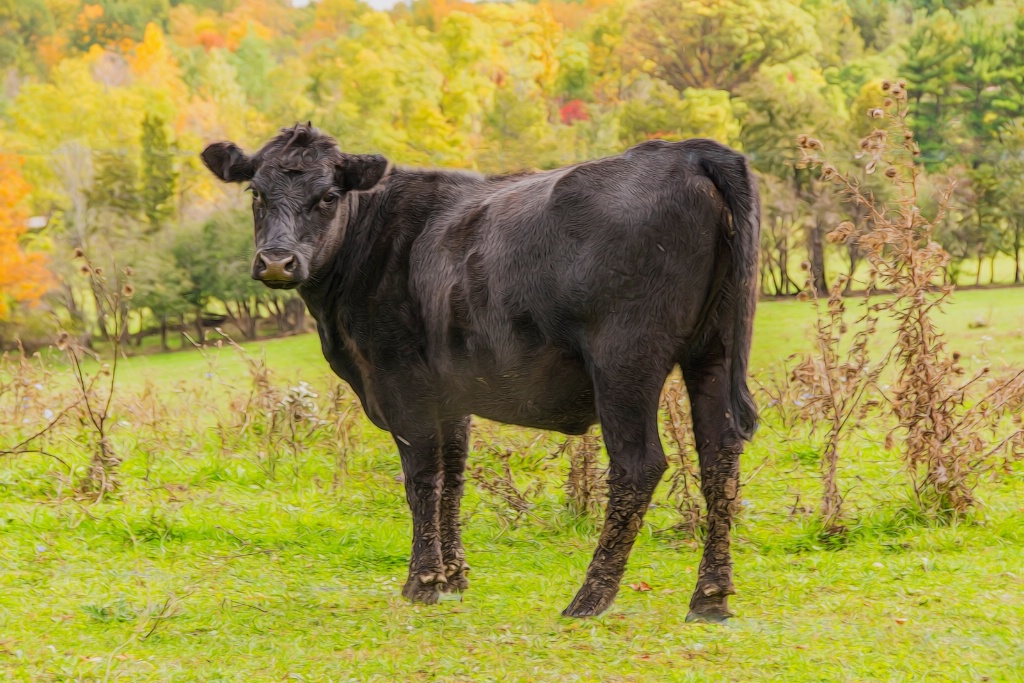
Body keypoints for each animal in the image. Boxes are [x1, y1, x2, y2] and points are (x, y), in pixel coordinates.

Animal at [201, 125, 761, 622]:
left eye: (328, 196)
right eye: (256, 192)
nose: (277, 261)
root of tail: (685, 151)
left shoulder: (400, 382)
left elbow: (422, 479)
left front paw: (422, 582)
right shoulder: (450, 393)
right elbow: (453, 477)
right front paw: (454, 576)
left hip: (625, 360)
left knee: (638, 464)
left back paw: (590, 598)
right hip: (713, 350)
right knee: (719, 459)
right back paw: (710, 597)